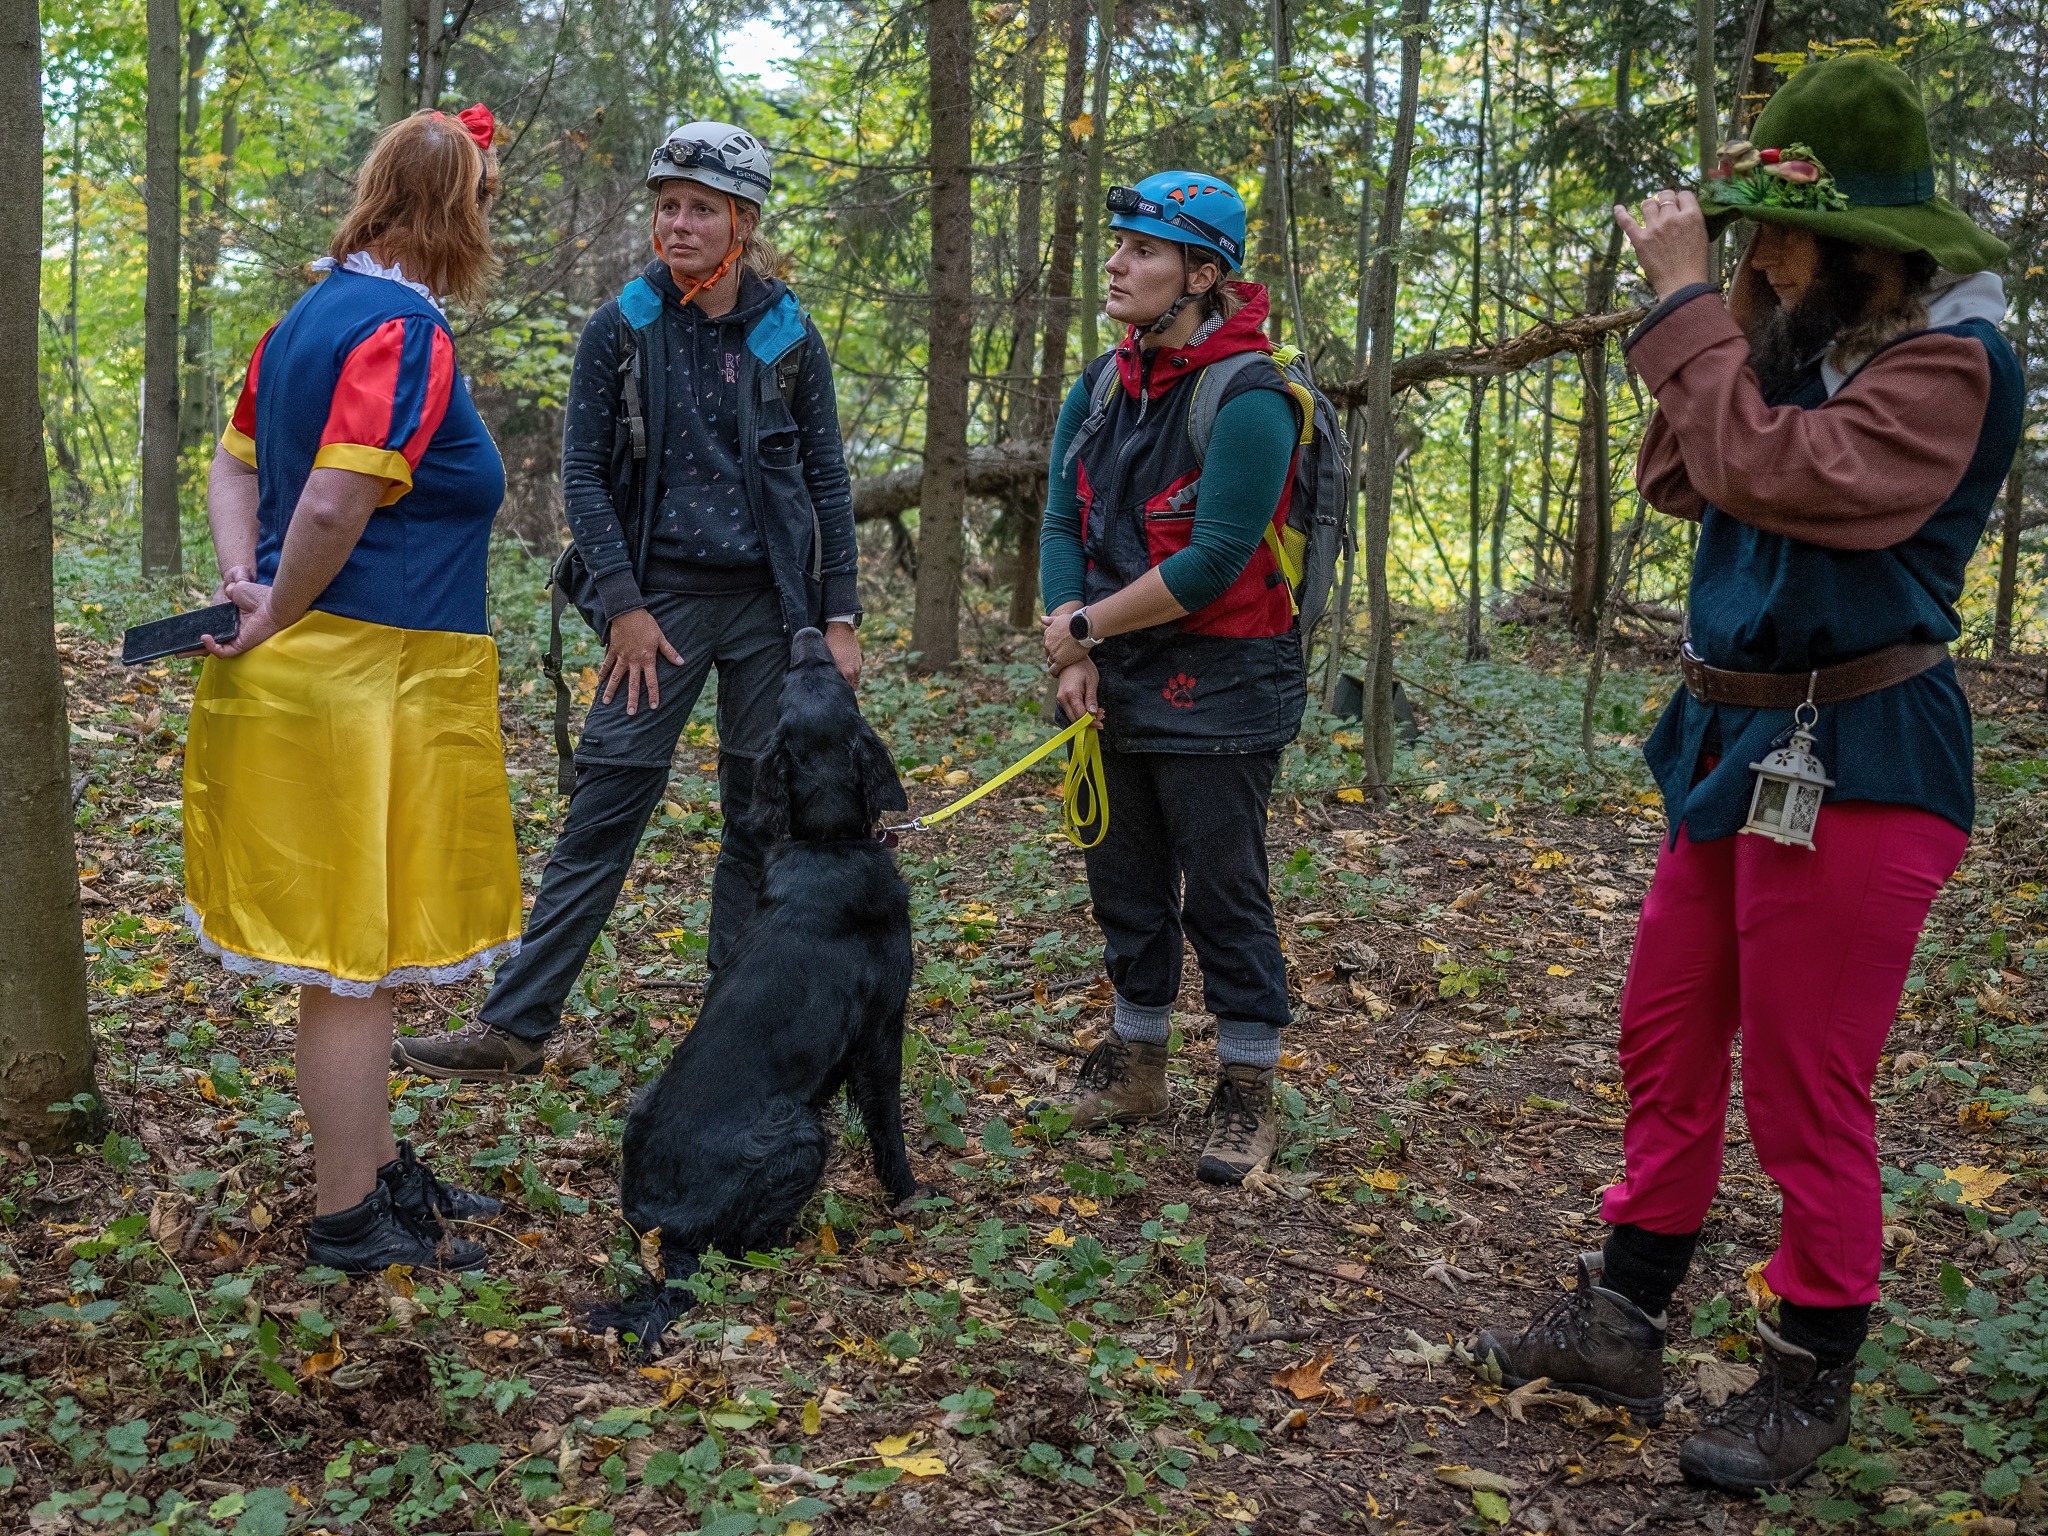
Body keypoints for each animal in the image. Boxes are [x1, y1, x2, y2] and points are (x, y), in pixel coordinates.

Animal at [589, 627, 922, 1353]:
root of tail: (667, 1239)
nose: (809, 634)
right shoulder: (883, 1027)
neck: (828, 844)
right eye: (814, 676)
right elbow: (888, 1125)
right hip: (800, 1133)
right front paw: (913, 1195)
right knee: (745, 1247)